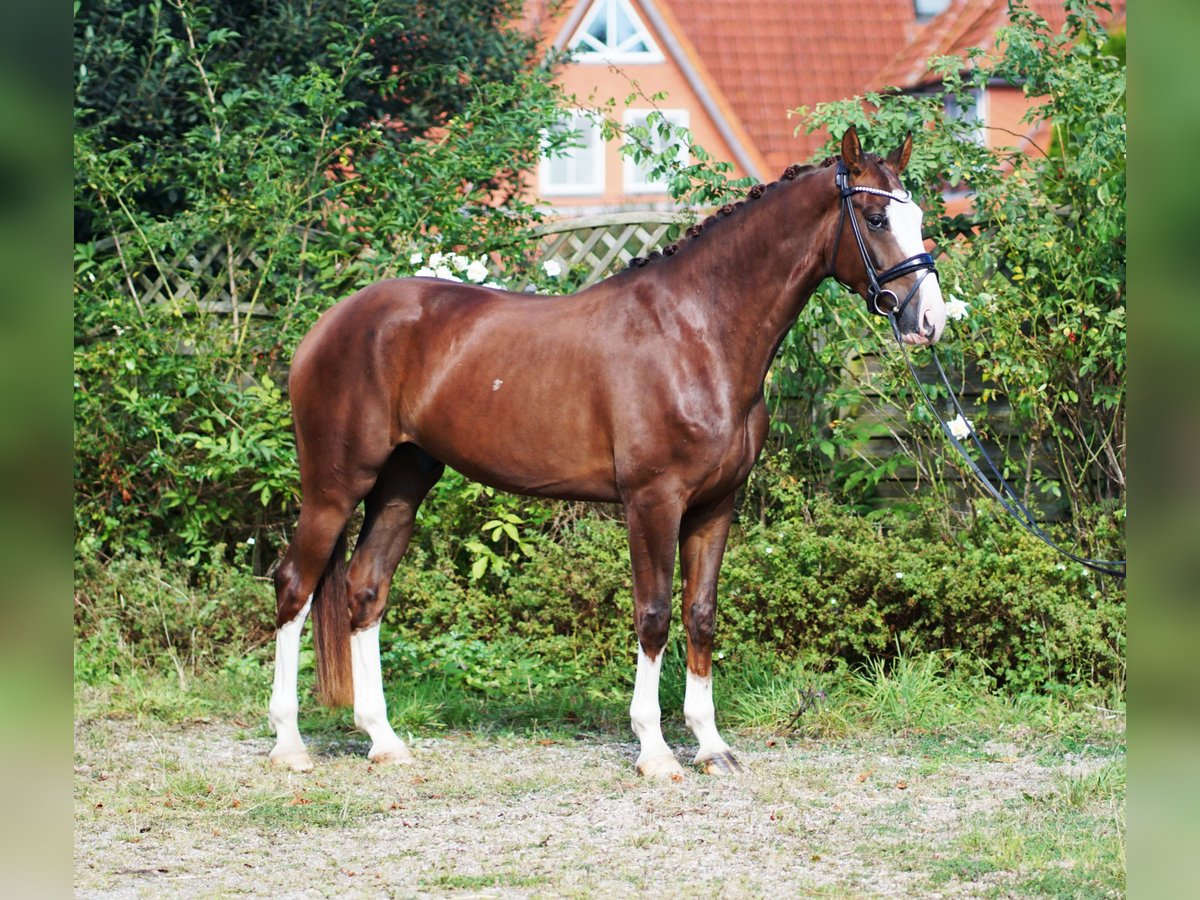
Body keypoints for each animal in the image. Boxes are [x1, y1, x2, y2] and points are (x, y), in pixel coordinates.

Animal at [265, 125, 945, 777]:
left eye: (916, 216)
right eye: (876, 219)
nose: (928, 321)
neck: (697, 331)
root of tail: (328, 325)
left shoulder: (717, 505)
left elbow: (700, 614)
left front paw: (711, 746)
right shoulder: (652, 501)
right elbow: (654, 614)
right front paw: (655, 750)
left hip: (403, 483)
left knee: (364, 590)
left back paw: (383, 740)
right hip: (336, 485)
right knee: (295, 585)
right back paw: (290, 744)